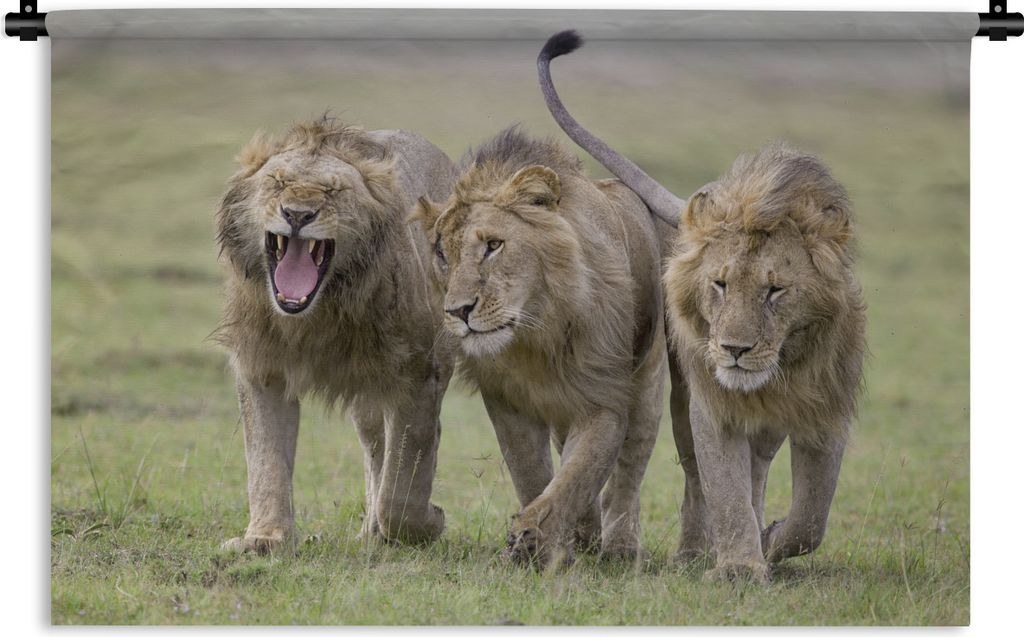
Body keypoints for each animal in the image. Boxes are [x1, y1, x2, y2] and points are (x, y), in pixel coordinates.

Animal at [214, 117, 458, 552]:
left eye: (334, 191)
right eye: (277, 181)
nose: (297, 214)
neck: (318, 314)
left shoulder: (418, 373)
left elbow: (403, 484)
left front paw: (428, 522)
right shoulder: (262, 366)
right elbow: (266, 460)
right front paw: (265, 538)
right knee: (375, 446)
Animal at [410, 127, 668, 567]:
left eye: (493, 245)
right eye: (442, 253)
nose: (459, 311)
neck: (534, 333)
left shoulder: (604, 399)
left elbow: (578, 474)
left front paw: (532, 538)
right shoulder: (505, 400)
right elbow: (532, 472)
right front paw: (551, 539)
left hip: (648, 381)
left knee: (630, 469)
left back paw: (620, 547)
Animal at [539, 31, 866, 582]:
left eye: (775, 290)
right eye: (720, 284)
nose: (734, 349)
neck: (781, 367)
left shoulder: (828, 407)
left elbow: (811, 517)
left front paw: (770, 541)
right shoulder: (712, 404)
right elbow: (724, 487)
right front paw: (738, 566)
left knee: (760, 467)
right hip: (679, 390)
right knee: (697, 473)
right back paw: (696, 552)